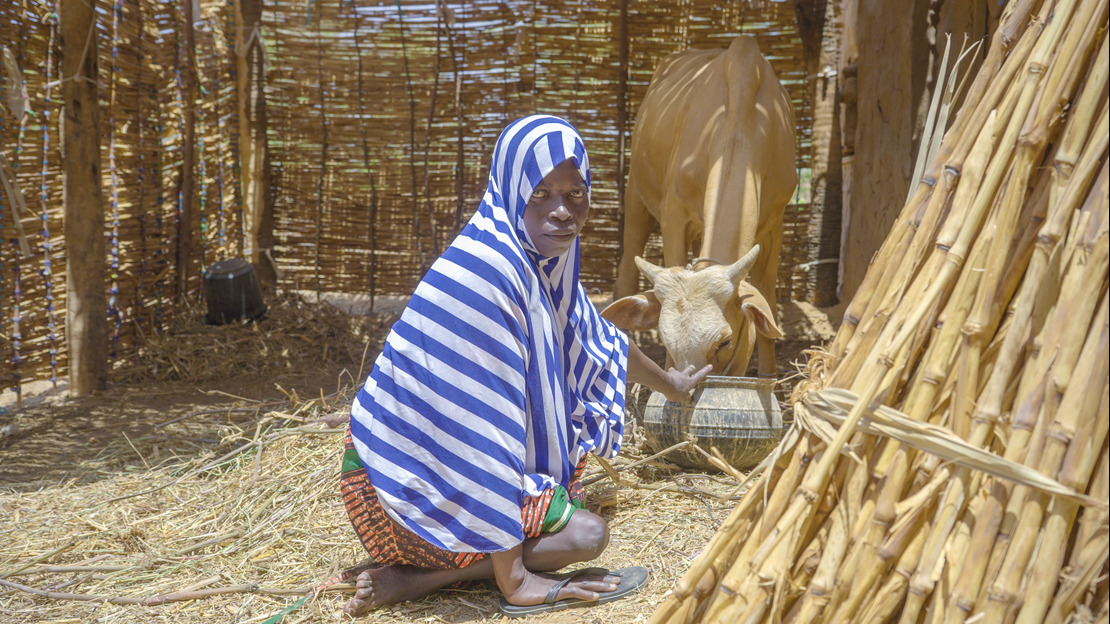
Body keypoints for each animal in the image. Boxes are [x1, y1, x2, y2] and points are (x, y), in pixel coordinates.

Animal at [603, 36, 794, 377]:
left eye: (724, 341)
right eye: (665, 341)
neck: (741, 130)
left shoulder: (775, 222)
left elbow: (768, 301)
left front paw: (769, 376)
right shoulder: (674, 216)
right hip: (636, 194)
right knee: (625, 271)